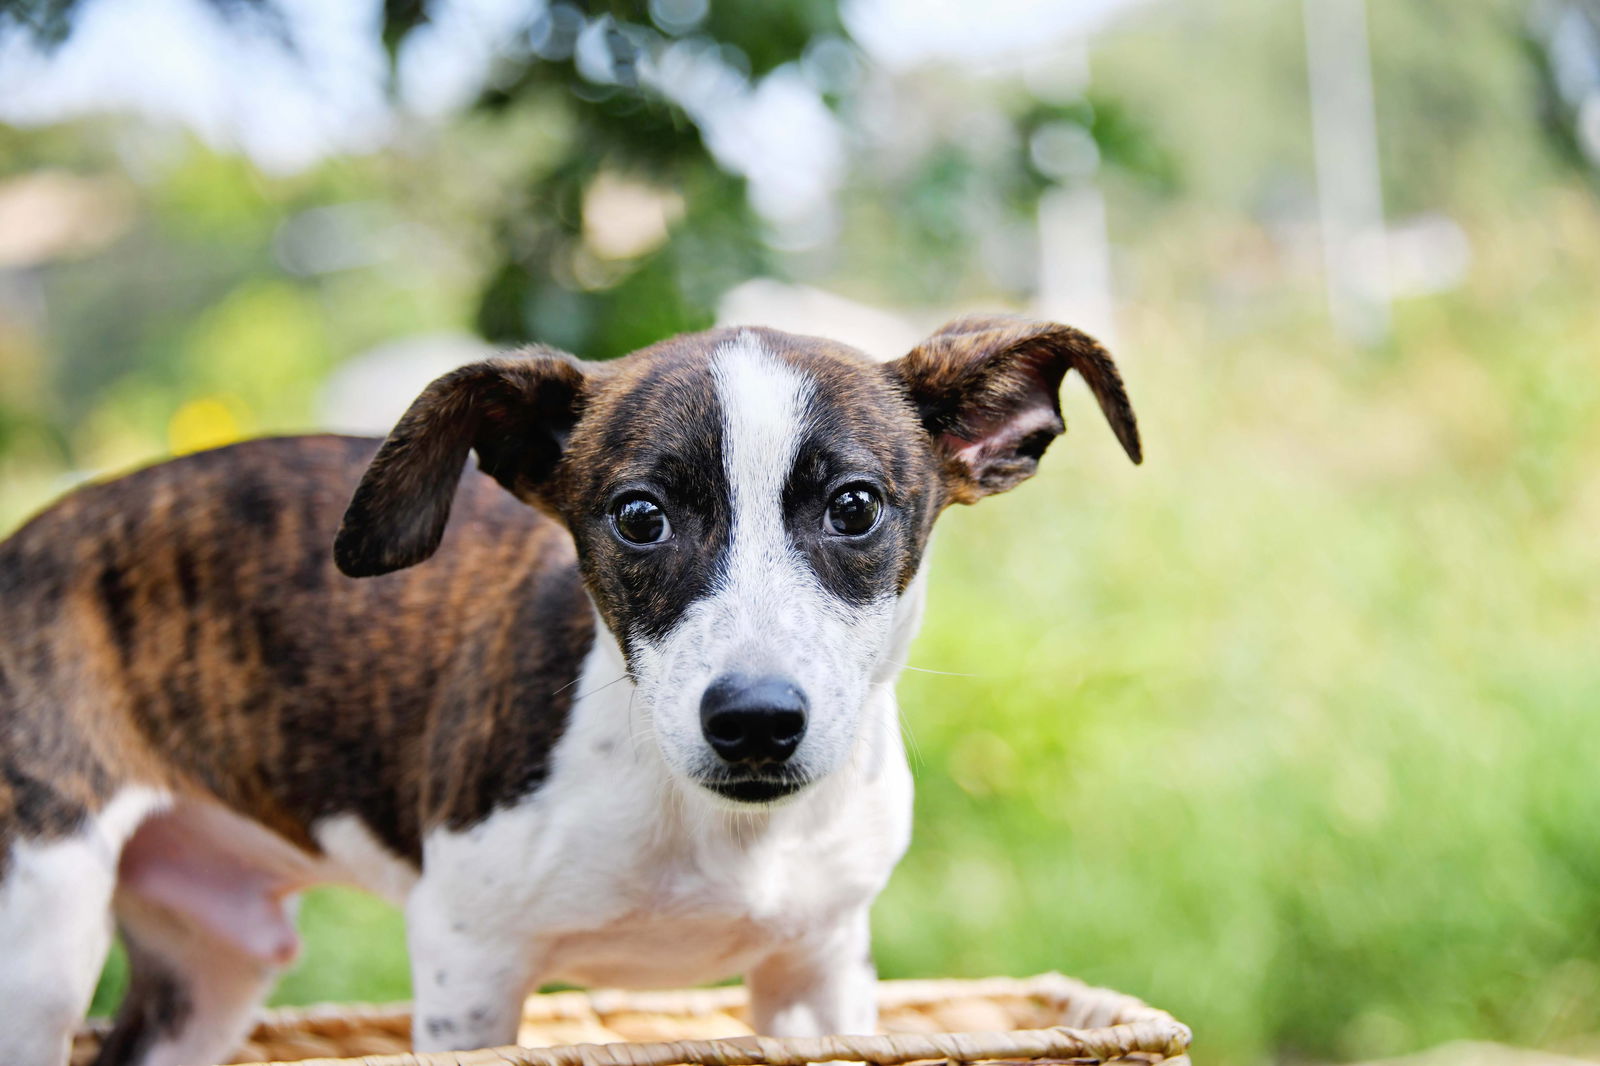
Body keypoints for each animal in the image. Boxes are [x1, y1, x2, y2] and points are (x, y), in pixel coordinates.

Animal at [0, 315, 1139, 1062]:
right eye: (639, 517)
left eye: (855, 507)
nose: (755, 723)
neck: (709, 826)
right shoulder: (468, 963)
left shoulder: (819, 974)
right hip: (41, 938)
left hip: (211, 971)